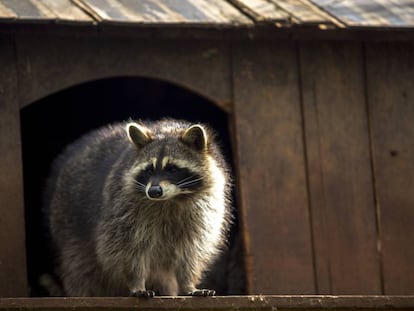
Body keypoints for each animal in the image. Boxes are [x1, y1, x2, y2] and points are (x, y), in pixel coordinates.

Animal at [45, 119, 233, 298]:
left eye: (173, 169)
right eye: (149, 170)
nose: (154, 191)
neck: (170, 200)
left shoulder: (202, 214)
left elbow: (189, 253)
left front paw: (188, 283)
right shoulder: (122, 209)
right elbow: (128, 249)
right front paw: (137, 282)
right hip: (68, 224)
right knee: (80, 268)